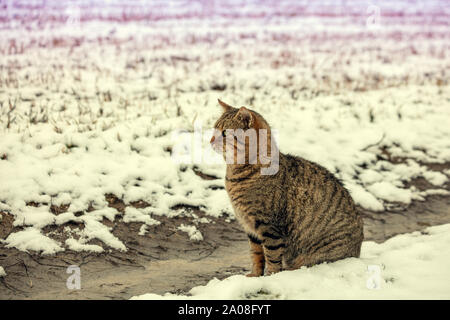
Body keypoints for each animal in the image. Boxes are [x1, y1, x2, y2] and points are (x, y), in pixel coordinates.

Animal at [212, 99, 366, 276]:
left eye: (224, 133)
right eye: (214, 129)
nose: (210, 140)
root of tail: (357, 253)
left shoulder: (269, 226)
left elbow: (271, 256)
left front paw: (271, 276)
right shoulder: (251, 228)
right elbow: (256, 255)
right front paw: (255, 275)